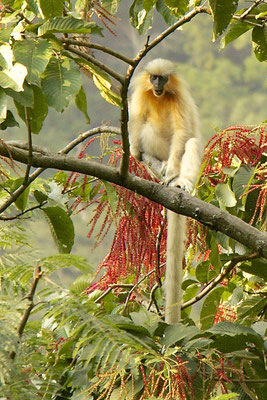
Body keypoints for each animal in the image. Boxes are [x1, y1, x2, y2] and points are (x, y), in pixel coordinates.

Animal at [129, 58, 202, 324]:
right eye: (153, 78)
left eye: (162, 78)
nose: (158, 85)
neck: (160, 97)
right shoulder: (141, 94)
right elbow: (136, 121)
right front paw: (133, 149)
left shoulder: (179, 97)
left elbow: (183, 132)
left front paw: (171, 170)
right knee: (147, 128)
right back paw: (159, 168)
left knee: (190, 142)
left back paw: (179, 180)